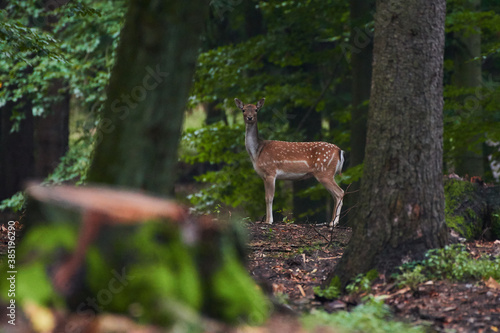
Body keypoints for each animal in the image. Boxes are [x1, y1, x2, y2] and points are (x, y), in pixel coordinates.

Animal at [233, 97, 344, 227]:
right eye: (243, 110)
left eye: (256, 109)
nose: (250, 117)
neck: (257, 151)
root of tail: (339, 151)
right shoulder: (263, 176)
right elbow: (266, 197)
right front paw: (267, 220)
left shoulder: (270, 172)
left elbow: (269, 197)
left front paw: (269, 221)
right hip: (328, 173)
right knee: (336, 195)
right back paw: (332, 222)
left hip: (325, 172)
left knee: (340, 192)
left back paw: (333, 223)